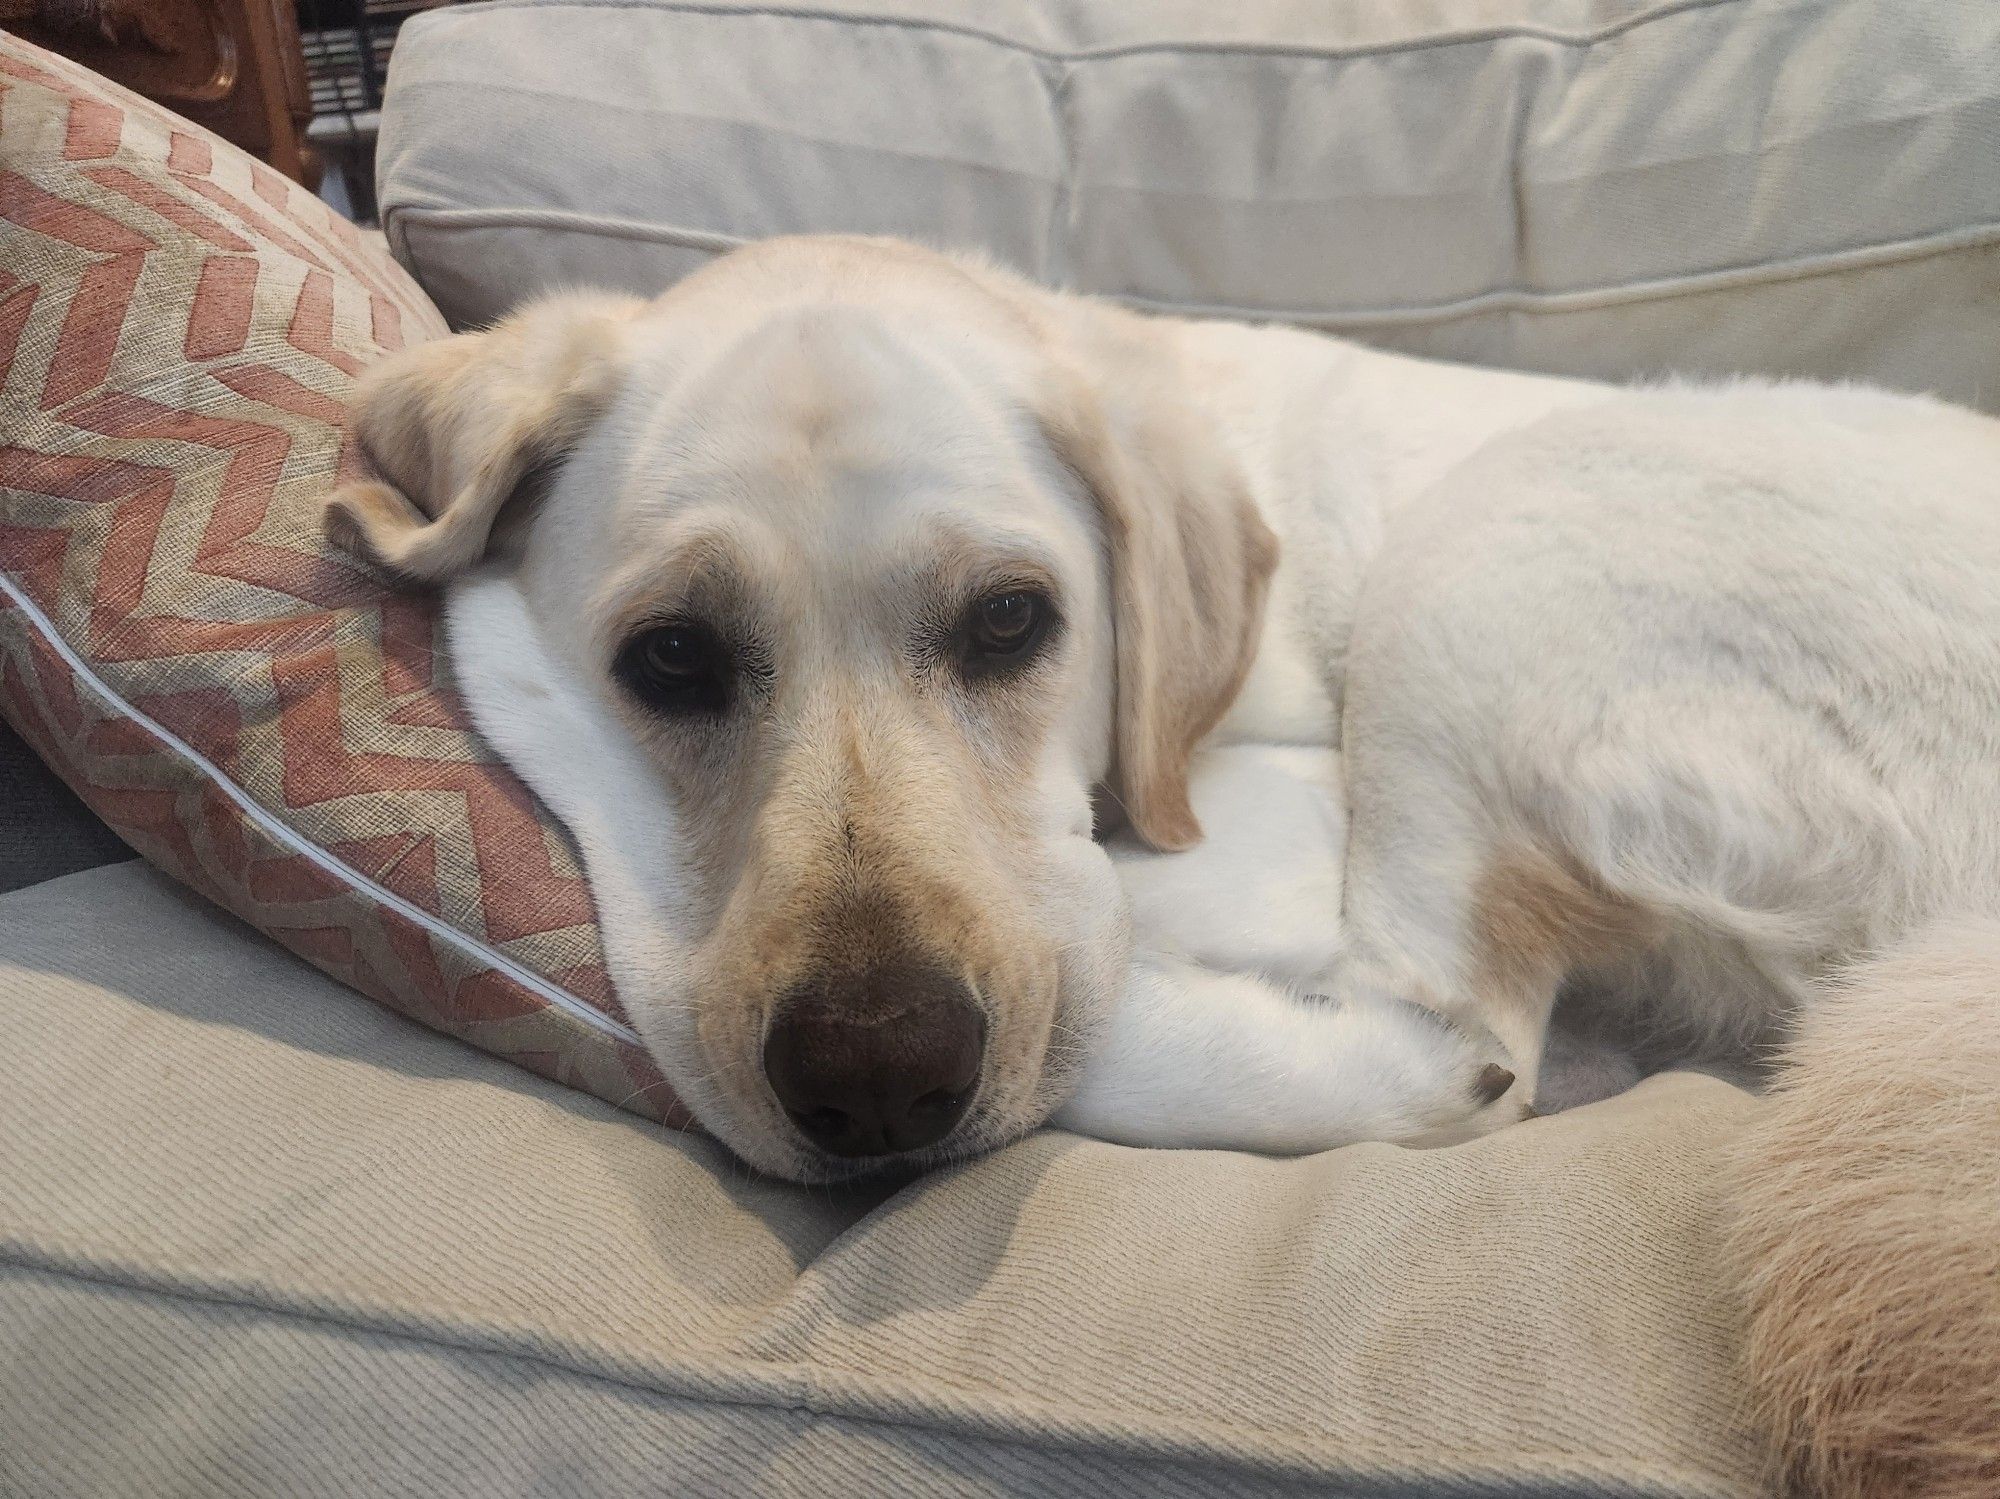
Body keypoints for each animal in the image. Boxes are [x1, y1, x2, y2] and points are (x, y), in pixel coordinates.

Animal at [328, 237, 1984, 1499]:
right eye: (670, 655)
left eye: (1011, 620)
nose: (879, 1075)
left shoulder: (1257, 815)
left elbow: (1110, 941)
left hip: (1497, 544)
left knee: (1451, 1019)